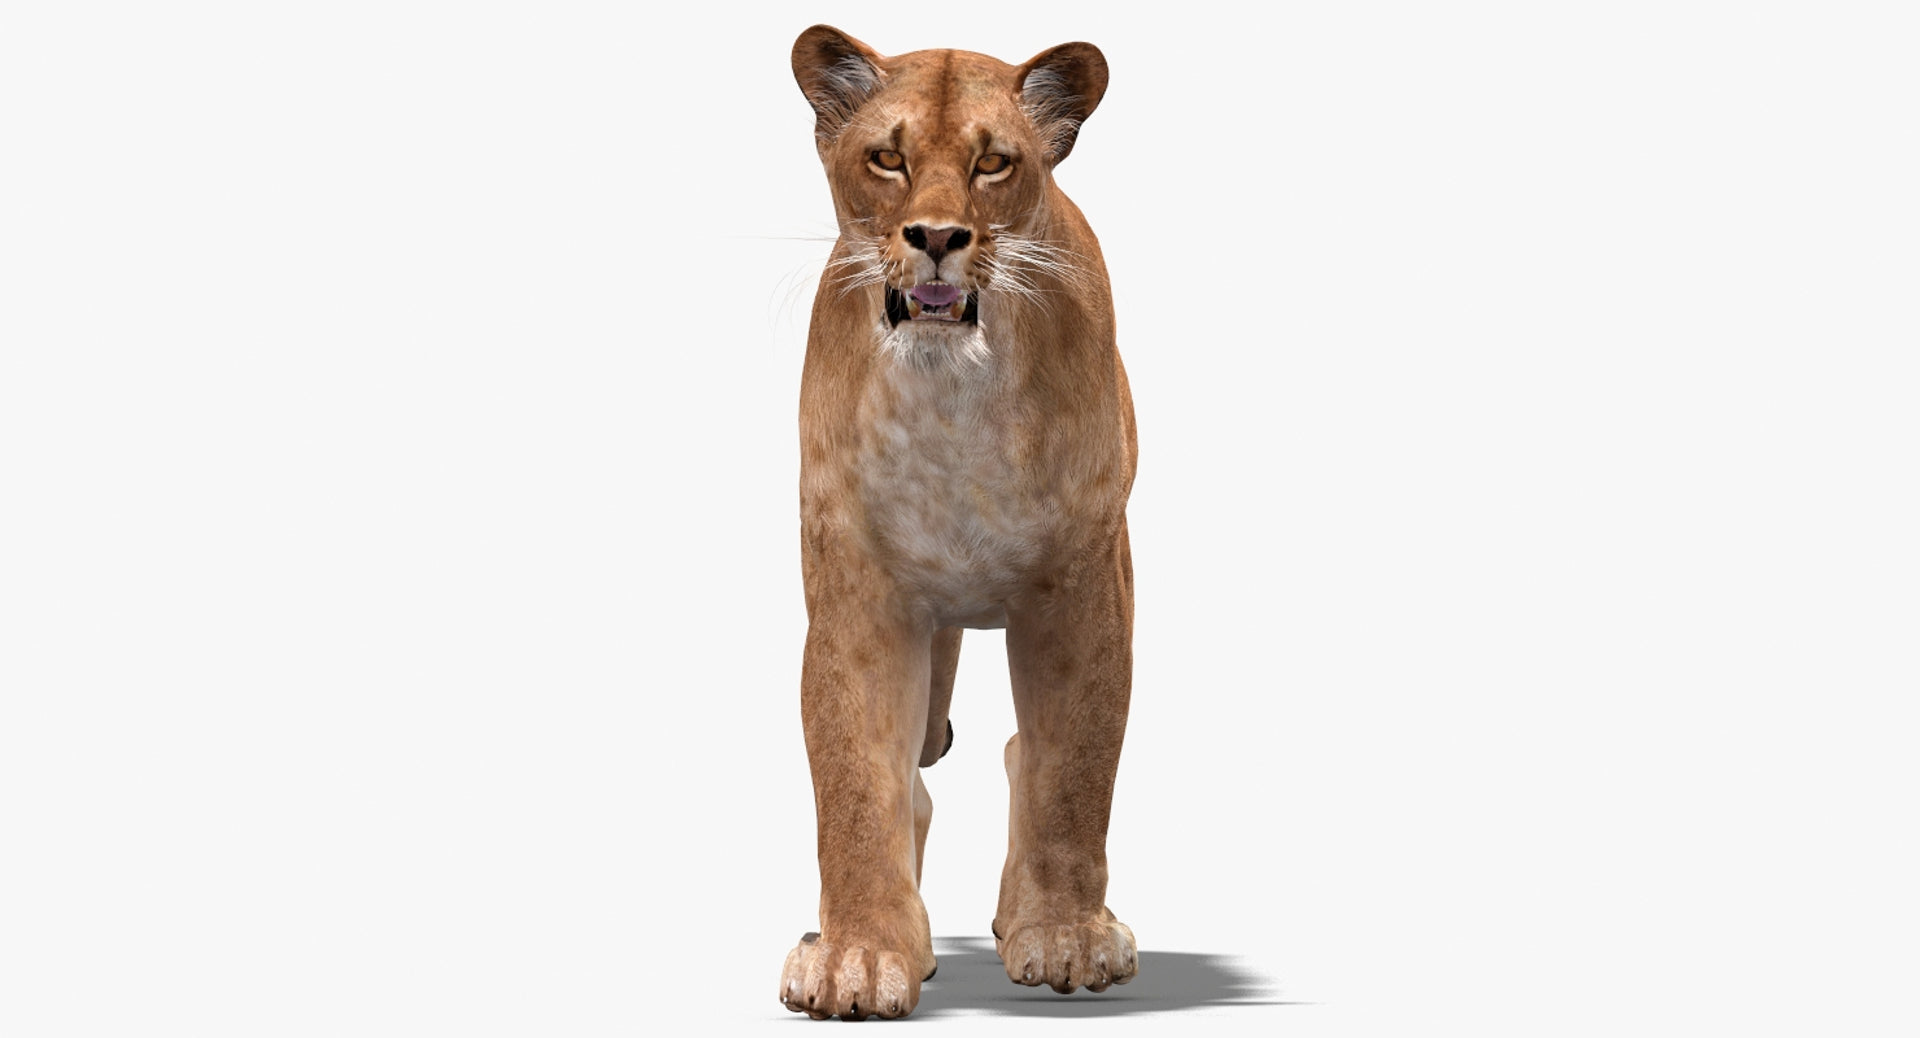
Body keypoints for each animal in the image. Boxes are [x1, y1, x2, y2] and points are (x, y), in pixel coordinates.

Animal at [778, 26, 1139, 1021]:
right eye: (888, 158)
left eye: (992, 163)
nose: (938, 238)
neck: (951, 397)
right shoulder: (858, 589)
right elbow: (853, 779)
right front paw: (858, 956)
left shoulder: (1082, 581)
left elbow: (1074, 767)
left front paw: (1065, 935)